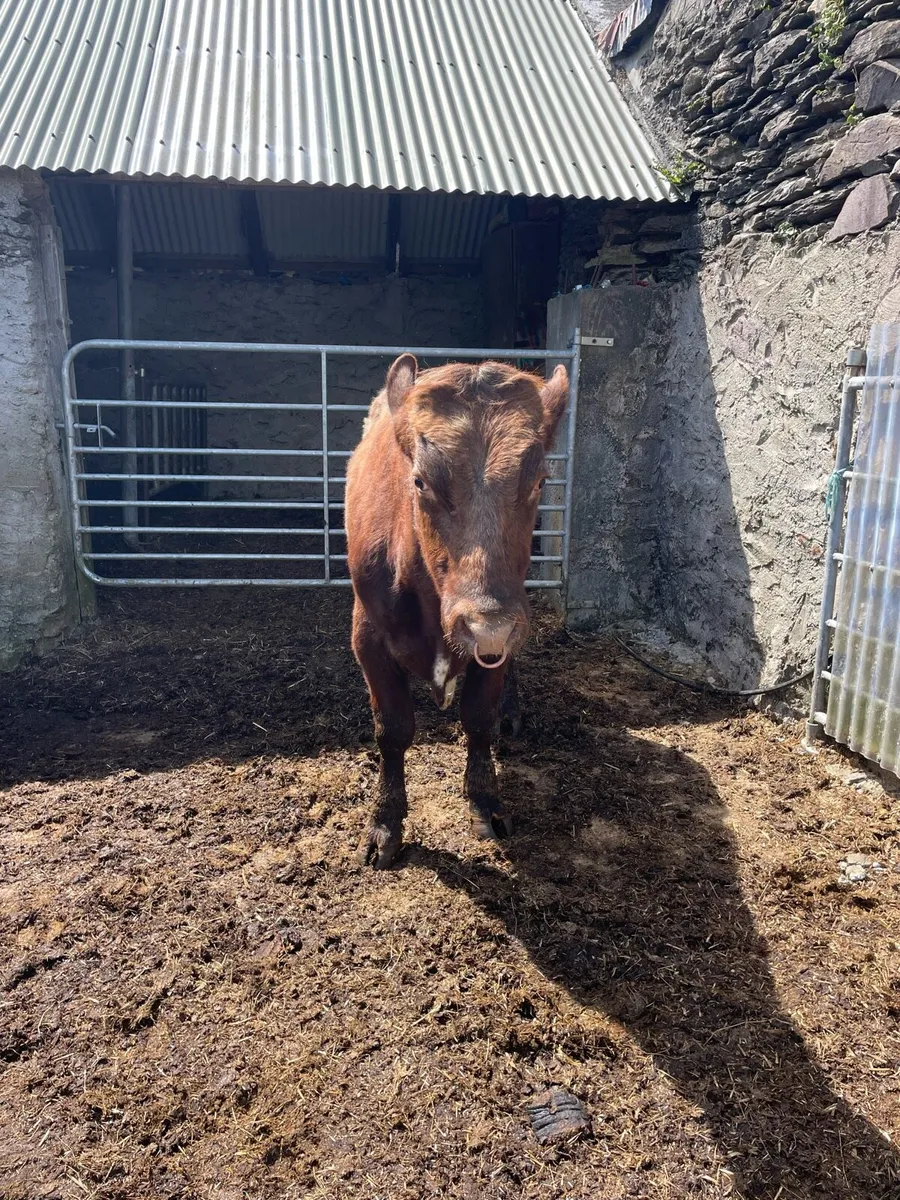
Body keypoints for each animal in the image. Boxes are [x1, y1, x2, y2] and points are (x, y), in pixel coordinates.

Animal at [344, 354, 569, 868]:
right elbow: (393, 729)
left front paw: (485, 802)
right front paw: (384, 824)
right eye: (420, 481)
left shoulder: (504, 631)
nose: (487, 624)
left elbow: (479, 718)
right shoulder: (367, 639)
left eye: (540, 481)